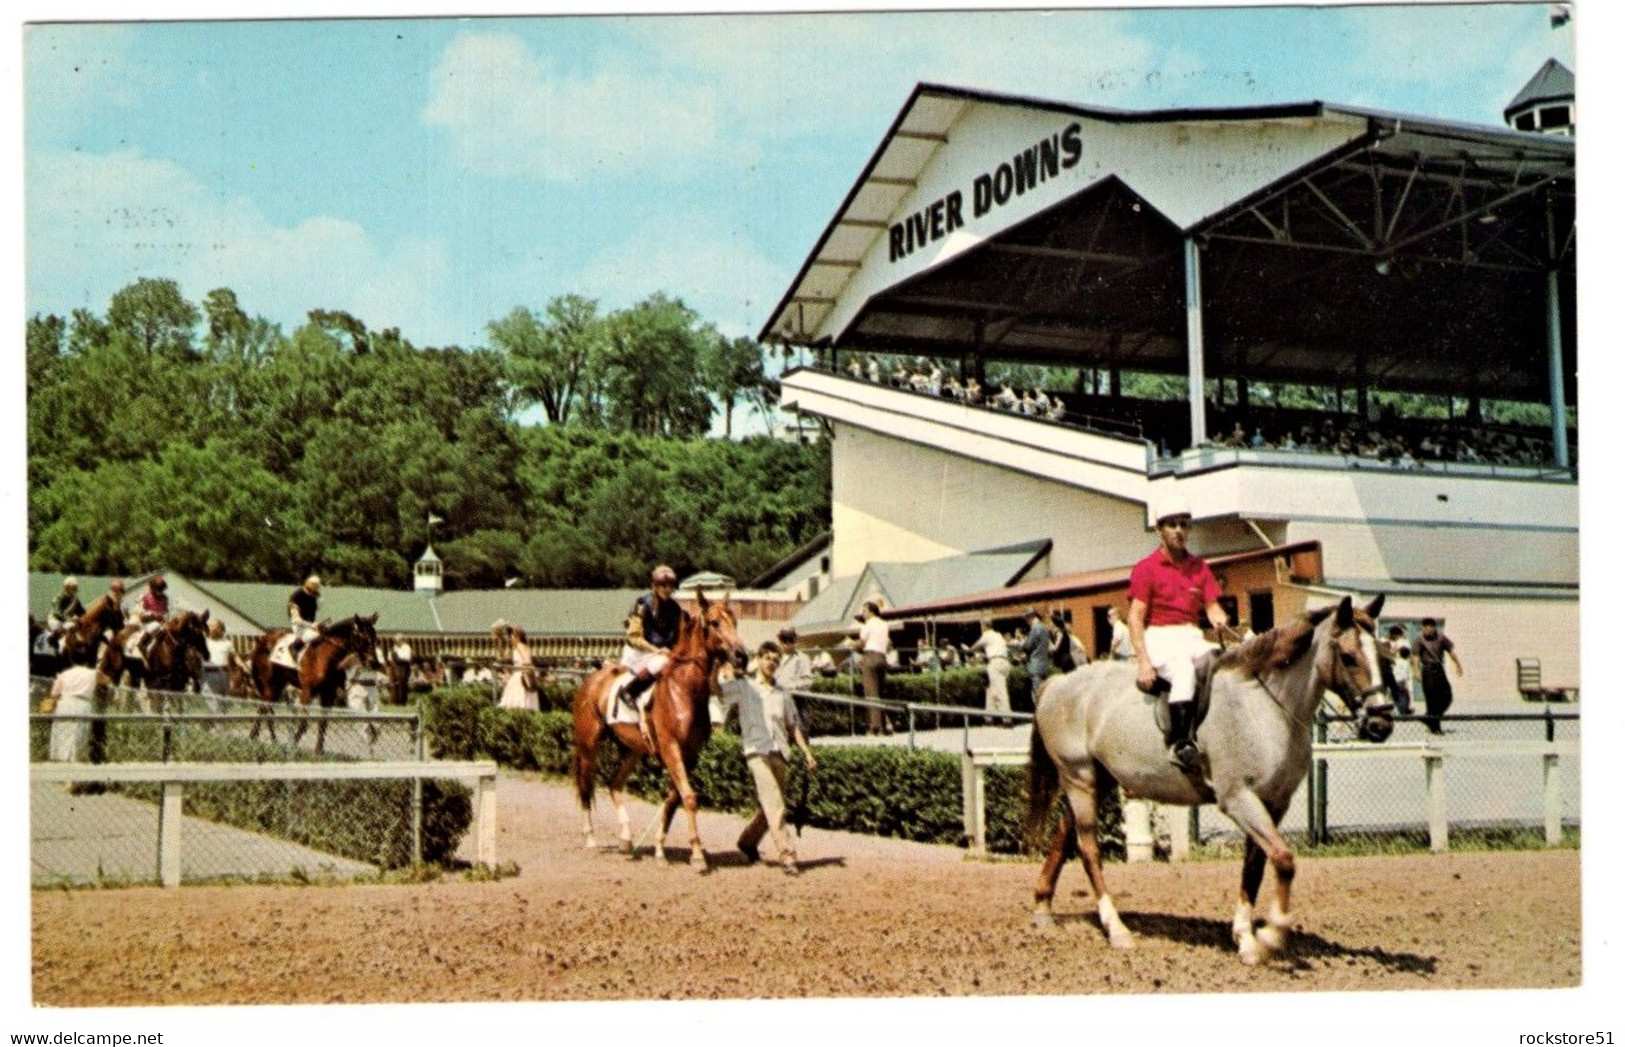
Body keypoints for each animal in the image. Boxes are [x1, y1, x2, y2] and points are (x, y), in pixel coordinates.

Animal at [247, 614, 380, 751]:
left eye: (375, 637)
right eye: (362, 638)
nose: (373, 662)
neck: (323, 657)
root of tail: (265, 639)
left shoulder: (328, 694)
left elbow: (323, 722)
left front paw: (318, 750)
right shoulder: (306, 692)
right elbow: (303, 723)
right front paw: (292, 745)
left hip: (279, 685)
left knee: (264, 709)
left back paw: (261, 738)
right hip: (271, 684)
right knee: (265, 708)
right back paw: (260, 738)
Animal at [572, 591, 747, 871]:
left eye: (735, 621)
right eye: (714, 623)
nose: (741, 655)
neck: (684, 690)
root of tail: (590, 679)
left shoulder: (690, 754)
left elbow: (674, 798)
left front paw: (660, 849)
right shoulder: (671, 747)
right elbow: (688, 796)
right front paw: (697, 855)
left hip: (631, 749)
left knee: (614, 784)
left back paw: (627, 839)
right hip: (588, 746)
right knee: (586, 786)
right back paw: (590, 838)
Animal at [1027, 598, 1397, 962]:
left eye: (1382, 656)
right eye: (1348, 656)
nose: (1381, 724)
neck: (1264, 706)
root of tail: (1056, 684)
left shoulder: (1273, 803)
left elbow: (1255, 868)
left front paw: (1245, 939)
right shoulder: (1238, 799)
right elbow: (1283, 859)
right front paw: (1271, 934)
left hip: (1098, 780)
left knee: (1064, 834)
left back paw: (1043, 909)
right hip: (1079, 778)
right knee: (1088, 848)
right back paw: (1116, 929)